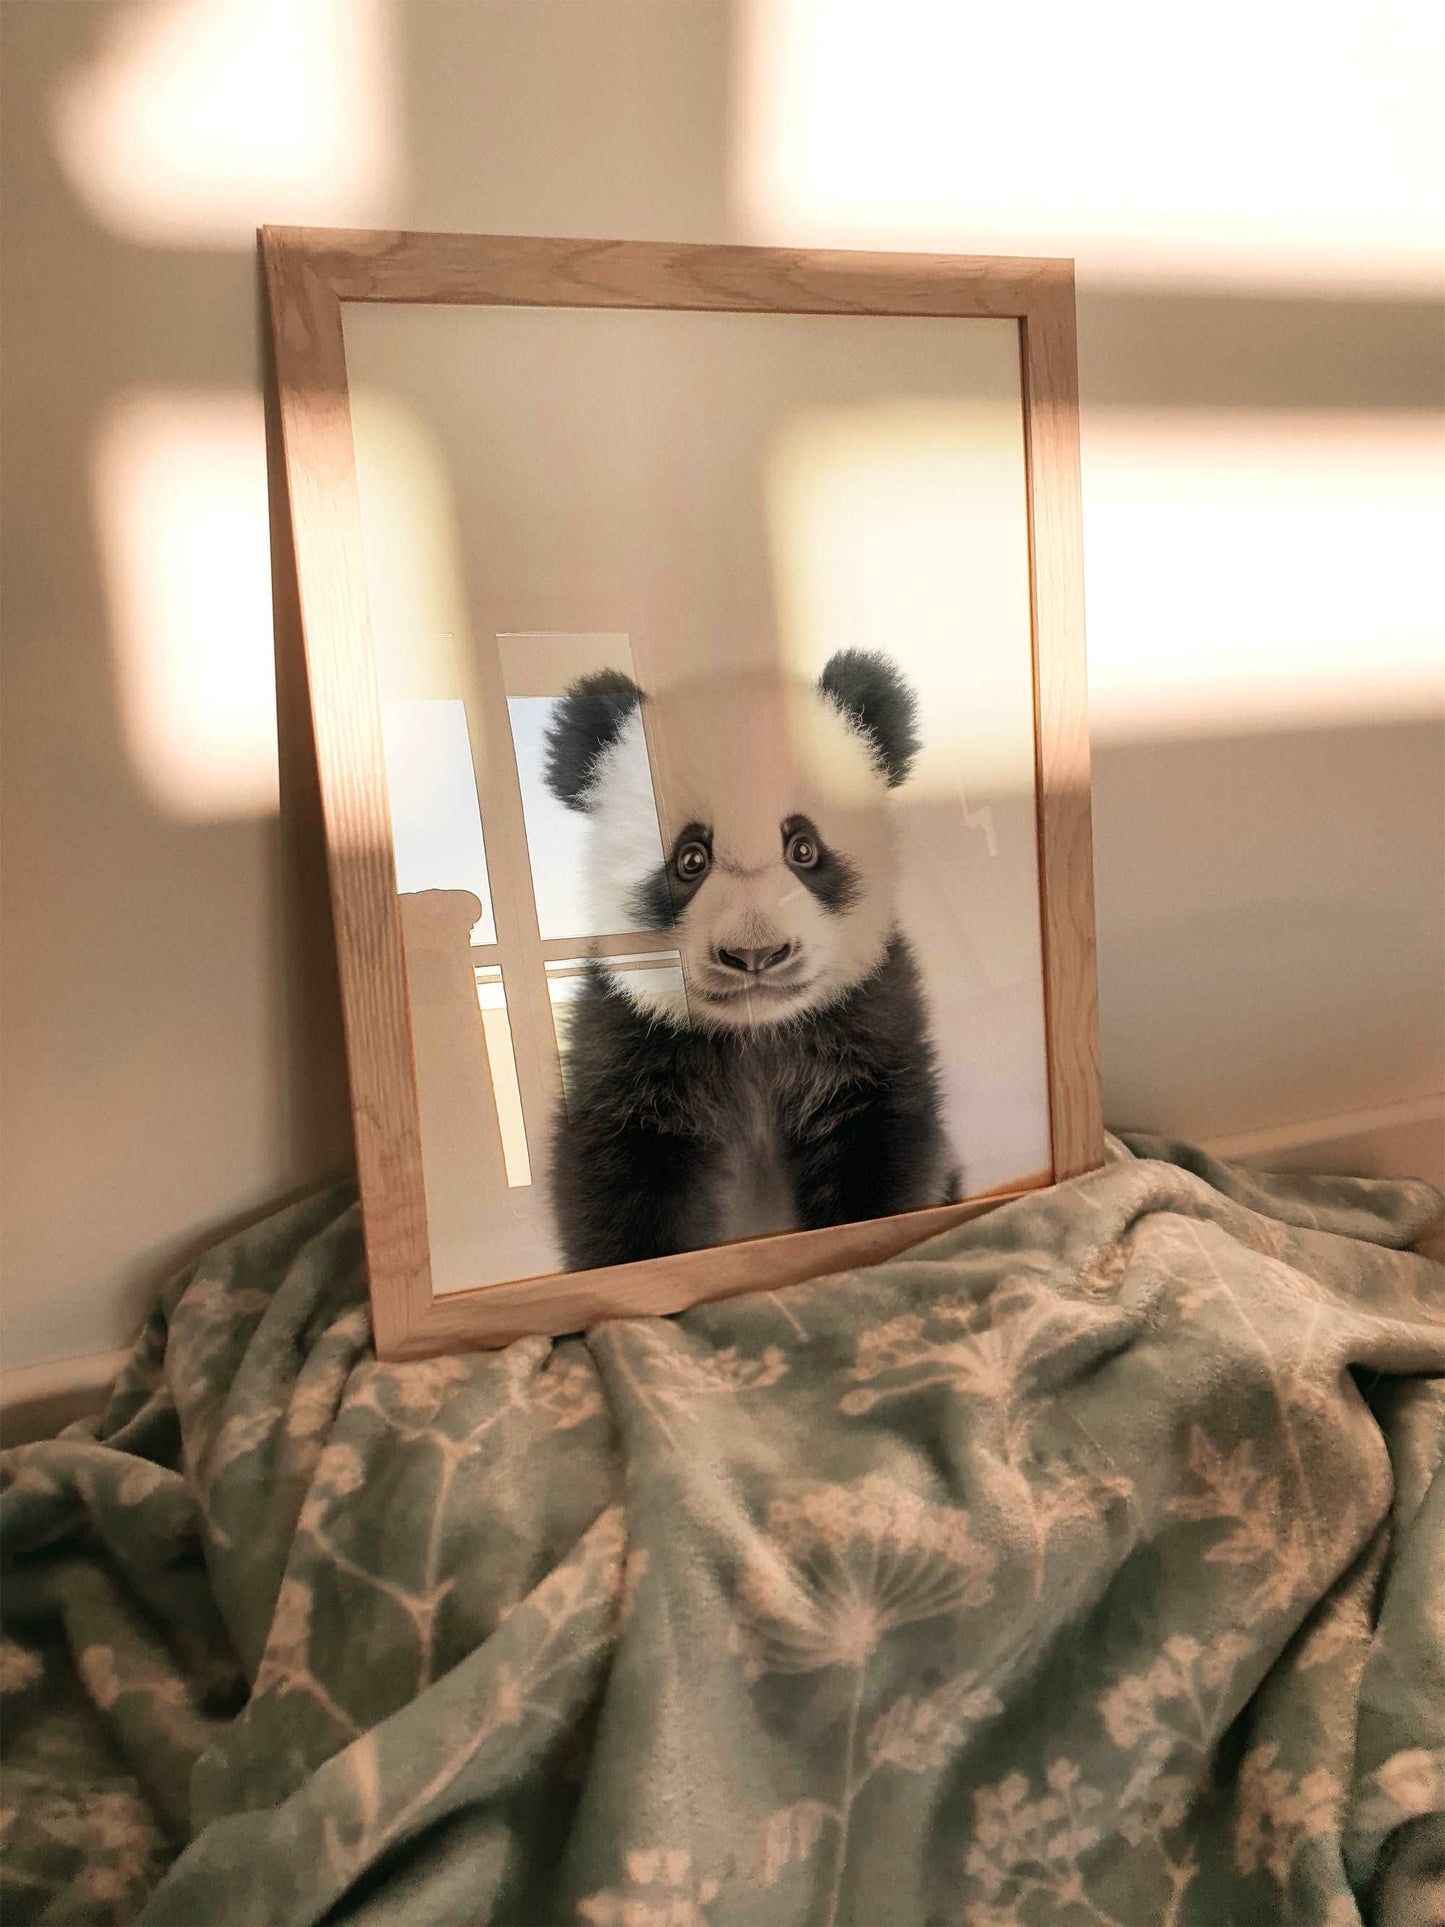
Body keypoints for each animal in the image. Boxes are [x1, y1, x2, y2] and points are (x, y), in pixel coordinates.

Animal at [541, 648, 959, 1271]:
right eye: (691, 859)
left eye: (804, 848)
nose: (755, 954)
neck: (756, 1036)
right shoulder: (627, 1040)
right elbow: (618, 1187)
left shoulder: (868, 1020)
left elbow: (886, 1148)